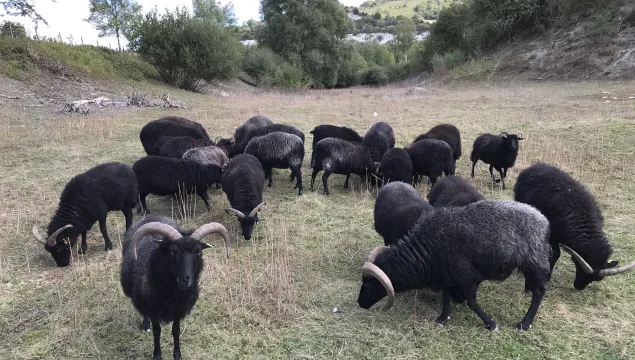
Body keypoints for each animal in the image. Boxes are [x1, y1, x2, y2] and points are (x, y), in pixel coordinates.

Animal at [120, 215, 230, 358]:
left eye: (198, 252)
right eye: (173, 252)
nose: (186, 280)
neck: (173, 291)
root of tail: (150, 216)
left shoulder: (180, 307)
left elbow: (176, 330)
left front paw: (177, 355)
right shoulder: (152, 305)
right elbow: (157, 330)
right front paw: (157, 355)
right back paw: (146, 325)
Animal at [360, 201, 556, 330]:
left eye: (369, 284)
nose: (360, 303)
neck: (427, 250)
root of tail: (545, 222)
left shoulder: (468, 277)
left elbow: (471, 303)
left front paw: (491, 324)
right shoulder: (446, 274)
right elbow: (446, 295)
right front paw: (443, 317)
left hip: (535, 263)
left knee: (539, 293)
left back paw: (525, 323)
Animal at [516, 162, 635, 290]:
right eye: (579, 266)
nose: (578, 287)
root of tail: (537, 165)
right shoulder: (553, 234)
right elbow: (556, 254)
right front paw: (547, 276)